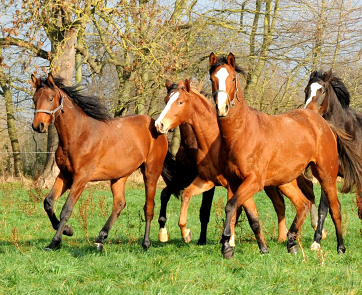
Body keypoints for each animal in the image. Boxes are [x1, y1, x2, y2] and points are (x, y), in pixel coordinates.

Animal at [30, 74, 170, 252]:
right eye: (34, 99)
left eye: (50, 98)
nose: (38, 126)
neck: (78, 135)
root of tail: (157, 126)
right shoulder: (65, 175)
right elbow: (48, 202)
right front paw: (68, 230)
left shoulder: (81, 178)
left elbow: (66, 210)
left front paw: (54, 241)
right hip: (119, 176)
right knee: (119, 204)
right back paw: (100, 238)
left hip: (151, 172)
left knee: (149, 208)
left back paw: (145, 243)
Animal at [154, 79, 316, 252]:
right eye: (166, 100)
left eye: (180, 102)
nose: (159, 124)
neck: (213, 141)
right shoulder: (206, 180)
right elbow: (185, 195)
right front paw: (185, 233)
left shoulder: (231, 184)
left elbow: (234, 211)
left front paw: (228, 242)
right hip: (279, 183)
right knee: (286, 204)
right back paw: (284, 238)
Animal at [209, 53, 346, 260]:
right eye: (212, 79)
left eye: (232, 78)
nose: (222, 108)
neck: (242, 134)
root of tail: (320, 121)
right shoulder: (235, 182)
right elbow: (245, 214)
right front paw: (253, 248)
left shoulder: (254, 181)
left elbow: (231, 207)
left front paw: (226, 246)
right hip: (286, 181)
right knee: (303, 204)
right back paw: (291, 243)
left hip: (326, 175)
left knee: (334, 207)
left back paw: (339, 247)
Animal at [304, 70, 362, 251]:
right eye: (306, 90)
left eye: (322, 90)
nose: (308, 112)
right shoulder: (328, 175)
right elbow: (324, 208)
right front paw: (316, 241)